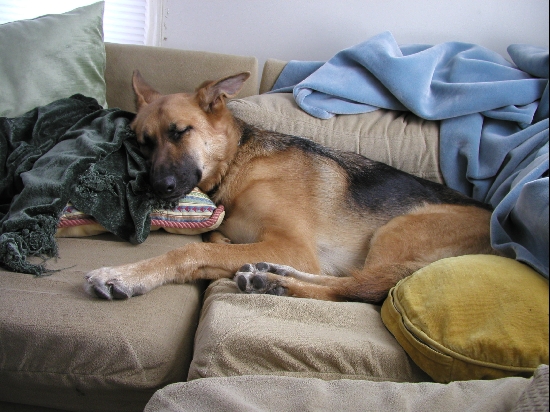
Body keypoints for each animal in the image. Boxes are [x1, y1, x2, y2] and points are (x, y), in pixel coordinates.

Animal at [84, 71, 502, 302]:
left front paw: (126, 275)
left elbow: (189, 252)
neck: (239, 162)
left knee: (355, 289)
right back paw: (272, 274)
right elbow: (214, 245)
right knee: (349, 280)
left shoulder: (294, 245)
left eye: (180, 132)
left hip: (399, 229)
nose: (156, 188)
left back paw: (272, 283)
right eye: (142, 143)